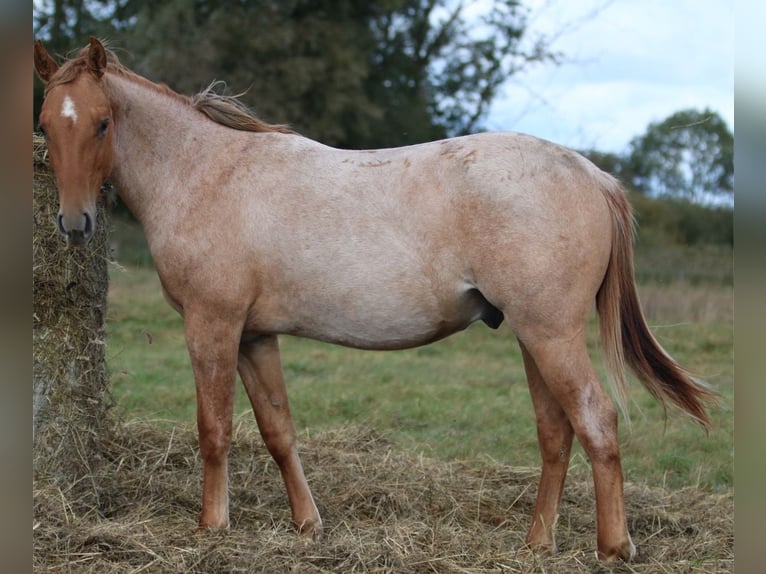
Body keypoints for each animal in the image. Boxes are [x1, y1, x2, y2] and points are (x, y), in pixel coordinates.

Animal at [30, 37, 712, 564]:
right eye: (46, 124)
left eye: (101, 123)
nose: (74, 223)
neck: (205, 173)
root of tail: (591, 175)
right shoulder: (255, 336)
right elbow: (278, 431)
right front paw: (308, 526)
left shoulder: (213, 327)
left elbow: (214, 429)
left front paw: (212, 527)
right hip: (532, 336)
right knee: (555, 433)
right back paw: (535, 543)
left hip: (552, 334)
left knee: (595, 420)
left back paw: (613, 547)